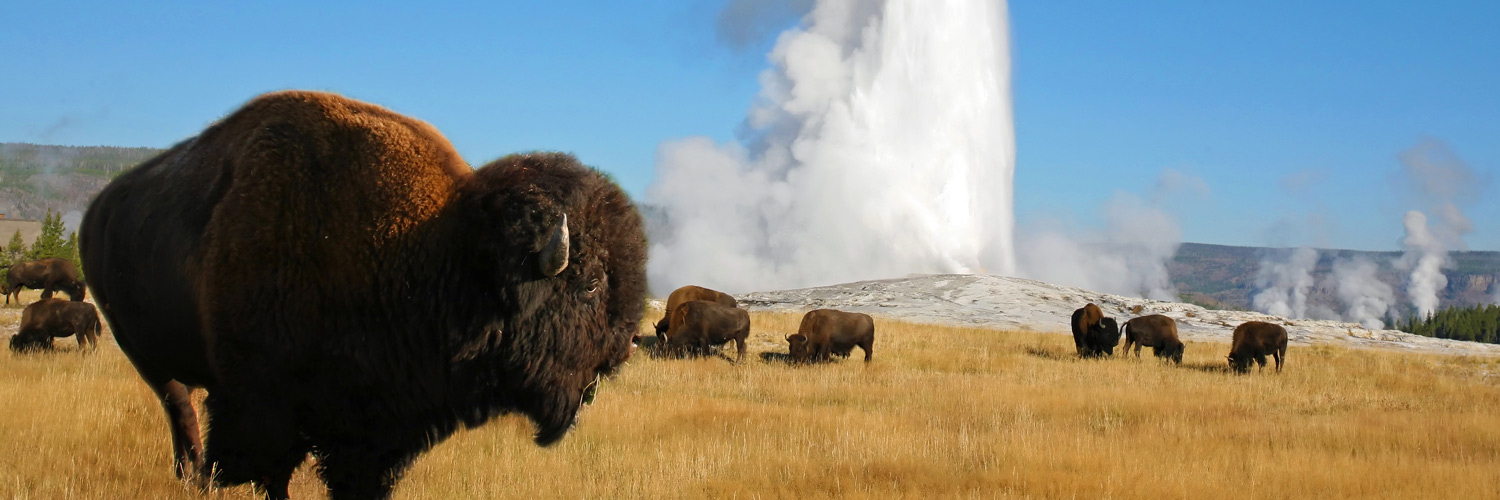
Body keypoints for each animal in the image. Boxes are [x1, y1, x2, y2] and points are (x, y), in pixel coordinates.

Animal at [79, 90, 648, 498]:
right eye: (591, 283)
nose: (619, 354)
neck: (438, 249)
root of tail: (96, 213)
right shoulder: (260, 405)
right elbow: (268, 469)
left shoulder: (375, 425)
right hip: (148, 357)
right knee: (180, 409)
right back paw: (194, 474)